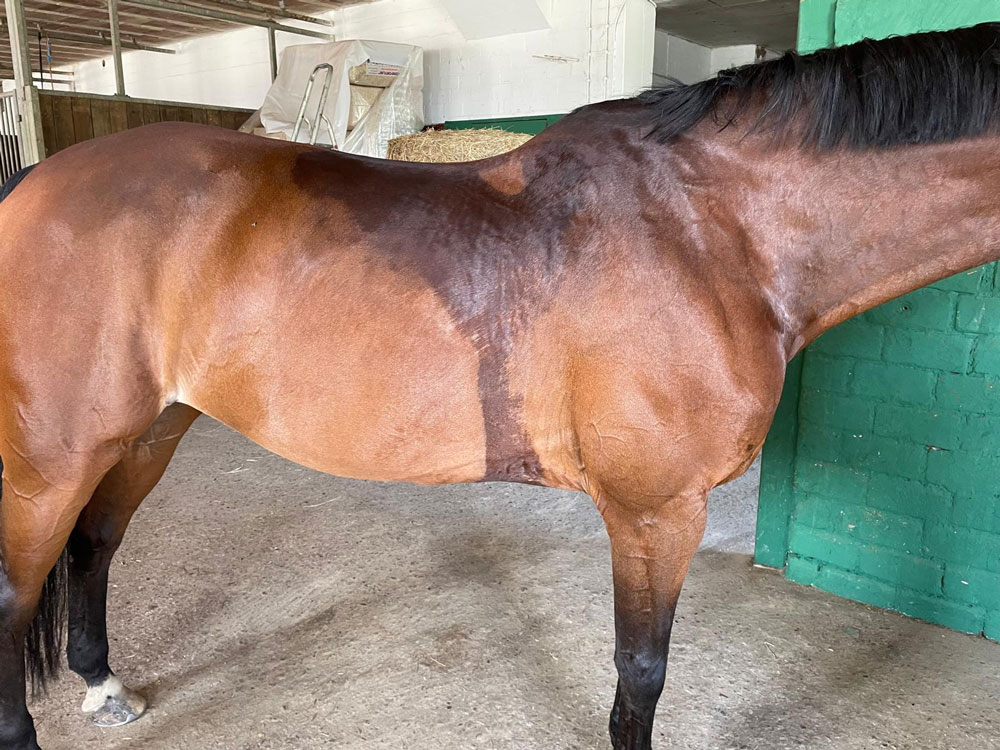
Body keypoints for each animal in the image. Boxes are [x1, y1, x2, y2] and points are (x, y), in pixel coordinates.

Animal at [2, 21, 1000, 750]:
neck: (711, 228)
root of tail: (34, 186)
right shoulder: (655, 511)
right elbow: (641, 674)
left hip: (150, 430)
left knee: (94, 549)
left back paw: (102, 685)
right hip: (51, 460)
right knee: (18, 592)